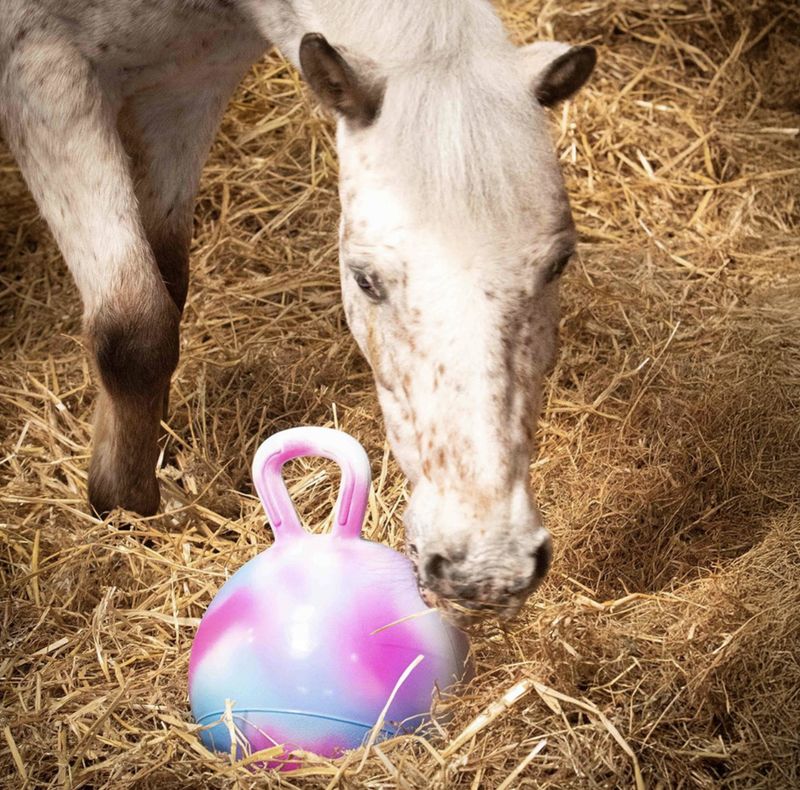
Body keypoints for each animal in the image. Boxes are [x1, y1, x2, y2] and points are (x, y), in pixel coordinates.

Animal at [0, 0, 595, 623]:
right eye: (364, 279)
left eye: (558, 264)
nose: (488, 570)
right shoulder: (40, 70)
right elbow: (134, 330)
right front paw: (126, 509)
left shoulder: (186, 87)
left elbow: (167, 284)